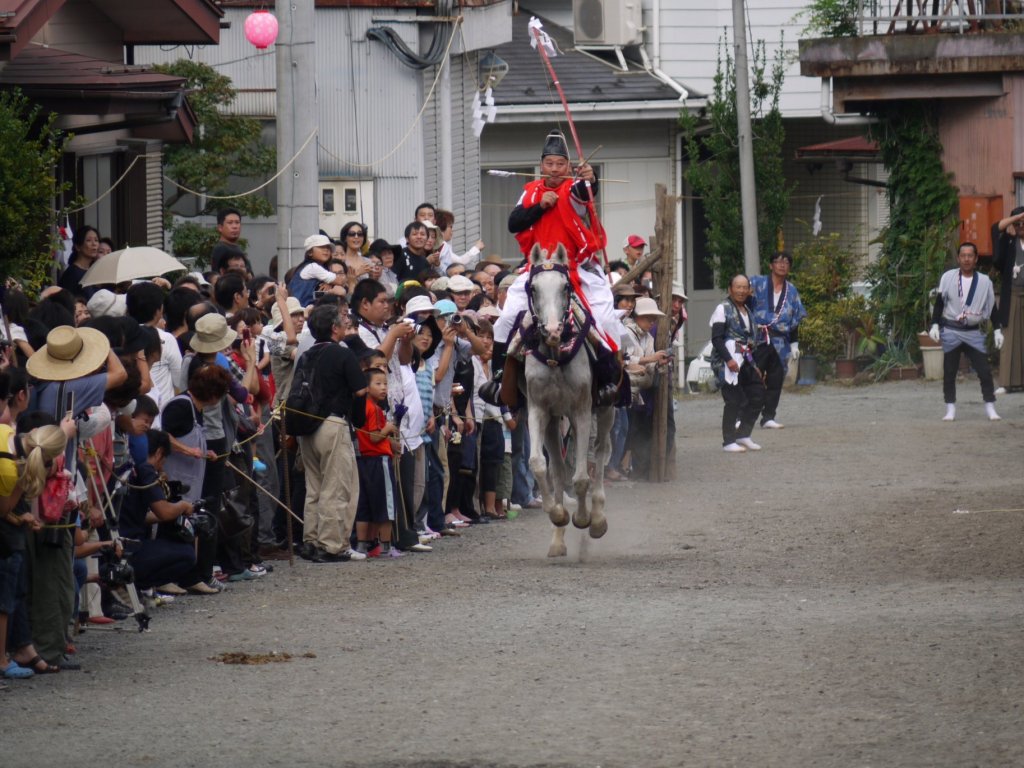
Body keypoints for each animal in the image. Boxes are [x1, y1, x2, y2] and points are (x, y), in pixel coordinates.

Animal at [520, 243, 614, 557]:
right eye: (533, 288)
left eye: (566, 286)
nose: (552, 331)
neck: (555, 356)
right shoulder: (538, 411)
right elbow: (538, 464)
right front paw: (557, 513)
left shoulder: (582, 412)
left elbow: (582, 477)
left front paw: (584, 519)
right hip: (554, 421)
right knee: (558, 470)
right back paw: (558, 539)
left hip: (605, 411)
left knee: (599, 455)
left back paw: (597, 519)